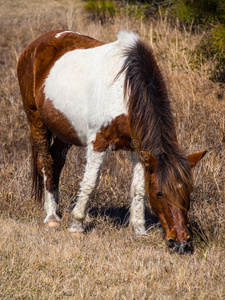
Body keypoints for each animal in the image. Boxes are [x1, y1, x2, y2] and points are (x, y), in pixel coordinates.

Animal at [17, 29, 206, 253]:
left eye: (188, 192)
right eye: (160, 194)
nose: (180, 243)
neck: (126, 89)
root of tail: (34, 45)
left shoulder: (138, 149)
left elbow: (138, 188)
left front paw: (139, 229)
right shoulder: (98, 142)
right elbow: (90, 183)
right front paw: (76, 225)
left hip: (64, 132)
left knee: (56, 163)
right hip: (35, 119)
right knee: (45, 163)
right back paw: (51, 216)